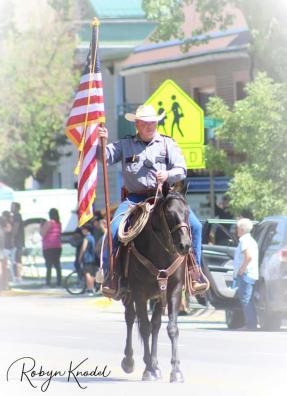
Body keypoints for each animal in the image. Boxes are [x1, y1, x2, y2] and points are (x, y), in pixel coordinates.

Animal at [120, 182, 192, 380]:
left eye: (187, 212)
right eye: (168, 213)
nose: (185, 245)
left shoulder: (173, 290)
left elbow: (171, 328)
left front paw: (175, 371)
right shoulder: (139, 293)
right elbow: (144, 327)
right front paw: (148, 370)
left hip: (159, 297)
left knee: (155, 325)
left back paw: (155, 364)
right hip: (128, 294)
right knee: (130, 318)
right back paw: (130, 361)